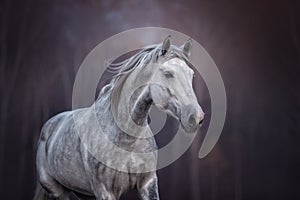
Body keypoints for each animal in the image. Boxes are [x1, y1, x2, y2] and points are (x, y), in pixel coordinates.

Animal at [34, 36, 205, 200]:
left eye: (191, 75)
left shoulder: (148, 183)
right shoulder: (105, 190)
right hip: (57, 190)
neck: (126, 139)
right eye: (167, 73)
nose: (196, 117)